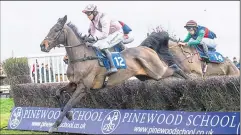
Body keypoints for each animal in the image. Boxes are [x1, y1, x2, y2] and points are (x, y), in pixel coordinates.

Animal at [40, 15, 181, 132]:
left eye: (56, 29)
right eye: (50, 29)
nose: (42, 45)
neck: (81, 57)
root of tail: (146, 48)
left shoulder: (83, 88)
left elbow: (69, 103)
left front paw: (54, 125)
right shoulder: (73, 84)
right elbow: (57, 93)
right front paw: (68, 115)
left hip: (157, 71)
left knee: (175, 68)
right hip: (145, 76)